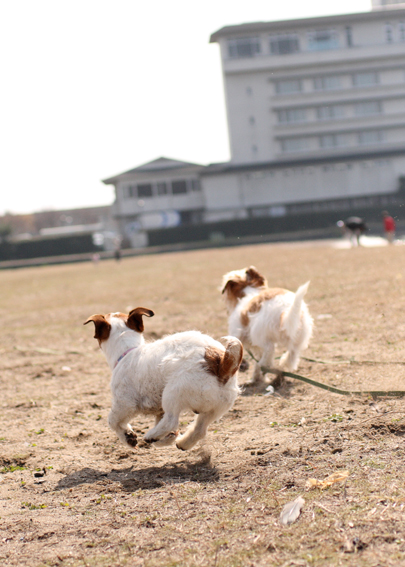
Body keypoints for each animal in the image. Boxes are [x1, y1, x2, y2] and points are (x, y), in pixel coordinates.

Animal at [83, 308, 241, 450]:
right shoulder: (159, 411)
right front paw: (166, 439)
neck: (128, 351)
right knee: (199, 430)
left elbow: (113, 421)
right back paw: (180, 442)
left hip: (173, 393)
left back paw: (151, 436)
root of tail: (222, 363)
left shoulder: (124, 403)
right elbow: (169, 434)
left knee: (171, 421)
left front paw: (128, 437)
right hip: (216, 408)